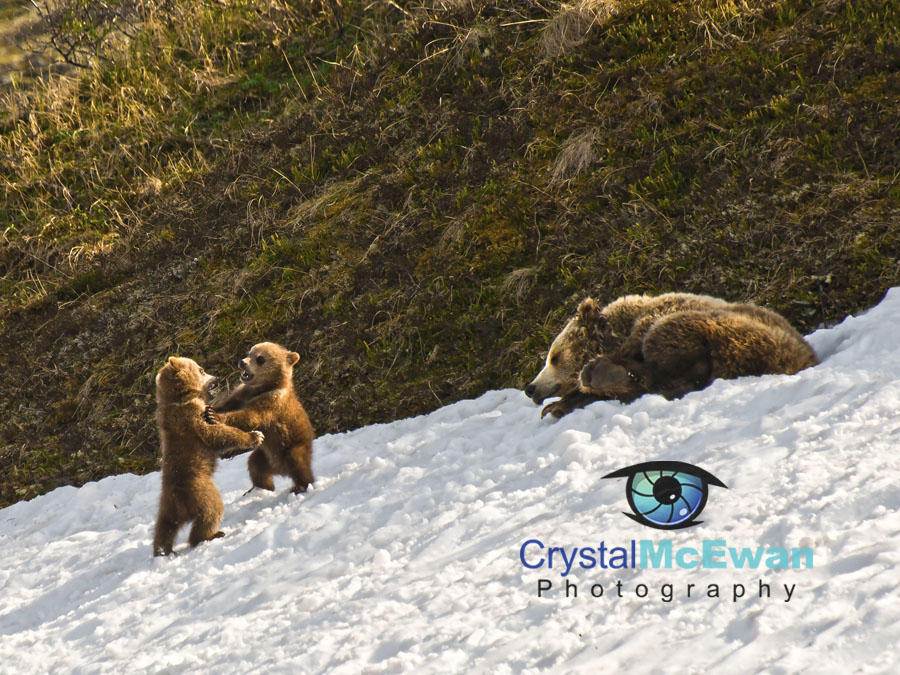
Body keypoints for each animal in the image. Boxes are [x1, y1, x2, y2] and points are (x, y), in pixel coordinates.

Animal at [150, 356, 264, 556]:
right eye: (202, 370)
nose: (216, 377)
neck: (180, 398)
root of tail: (179, 504)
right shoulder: (192, 416)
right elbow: (216, 434)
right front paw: (255, 436)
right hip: (201, 490)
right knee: (211, 511)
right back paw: (212, 535)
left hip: (166, 506)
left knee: (164, 528)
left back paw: (162, 551)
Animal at [205, 344, 314, 496]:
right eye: (250, 352)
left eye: (260, 358)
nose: (242, 362)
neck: (262, 388)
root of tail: (281, 470)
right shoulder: (243, 394)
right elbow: (228, 404)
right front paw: (211, 408)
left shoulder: (271, 403)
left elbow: (250, 417)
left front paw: (214, 416)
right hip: (265, 455)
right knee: (255, 465)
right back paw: (257, 489)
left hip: (292, 445)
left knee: (298, 463)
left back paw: (301, 487)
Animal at [524, 294, 820, 420]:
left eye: (554, 357)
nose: (530, 387)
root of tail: (802, 360)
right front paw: (556, 405)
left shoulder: (650, 321)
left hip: (732, 334)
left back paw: (601, 373)